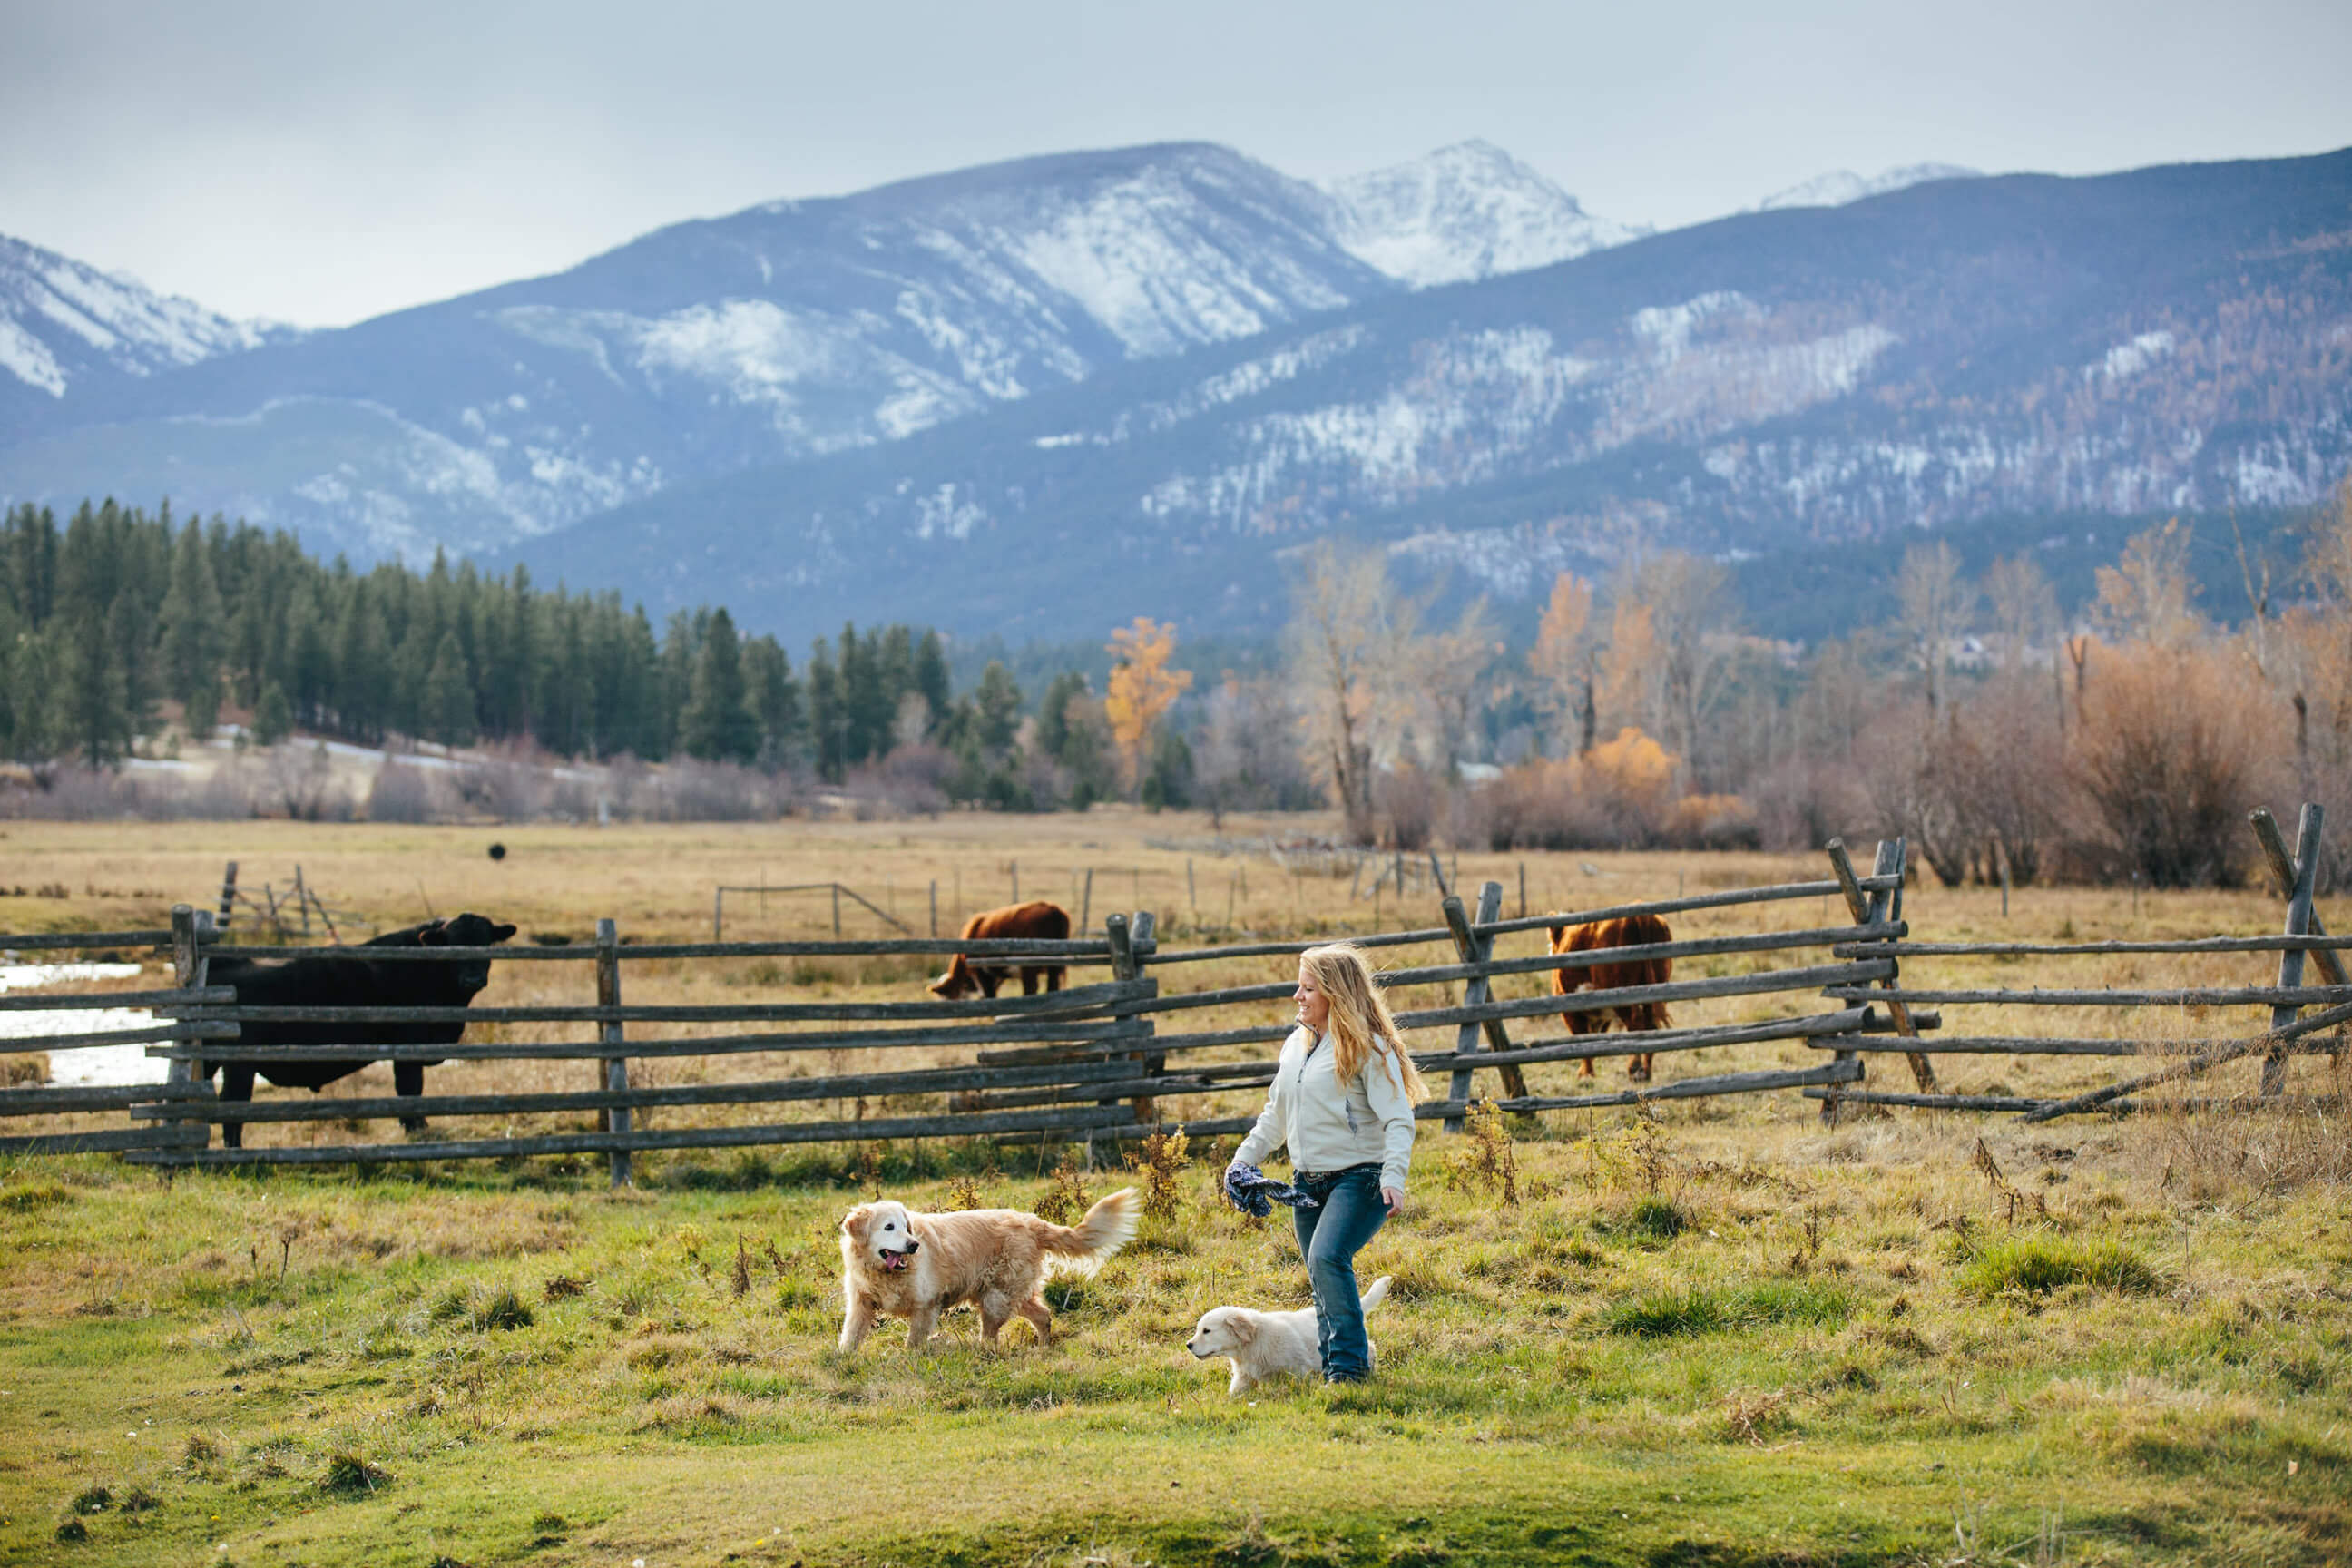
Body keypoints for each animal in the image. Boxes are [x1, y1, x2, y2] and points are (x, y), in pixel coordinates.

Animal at [200, 912, 517, 1147]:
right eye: (452, 943)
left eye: (486, 942)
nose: (473, 978)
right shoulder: (408, 1049)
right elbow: (410, 1090)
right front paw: (417, 1131)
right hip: (239, 1065)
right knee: (233, 1103)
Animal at [922, 902, 1072, 1001]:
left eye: (945, 997)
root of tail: (1055, 910)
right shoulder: (996, 975)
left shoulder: (980, 973)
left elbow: (988, 996)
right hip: (1054, 967)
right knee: (1052, 987)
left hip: (1029, 966)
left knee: (1030, 989)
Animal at [1185, 1279, 1383, 1401]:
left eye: (1207, 1331)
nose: (1188, 1345)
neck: (1253, 1344)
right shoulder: (1243, 1377)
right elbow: (1234, 1393)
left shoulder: (1299, 1370)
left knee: (1370, 1348)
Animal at [1543, 912, 1674, 1085]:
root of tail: (1642, 916)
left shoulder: (1571, 1012)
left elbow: (1584, 1038)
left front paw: (1586, 1075)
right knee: (1651, 1026)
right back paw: (1646, 1072)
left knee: (1636, 1024)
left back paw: (1635, 1070)